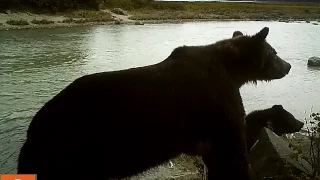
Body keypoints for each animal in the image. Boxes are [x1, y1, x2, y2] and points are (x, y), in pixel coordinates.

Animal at [18, 27, 292, 180]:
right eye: (275, 52)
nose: (288, 66)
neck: (233, 70)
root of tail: (35, 127)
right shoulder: (221, 105)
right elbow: (234, 156)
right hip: (72, 148)